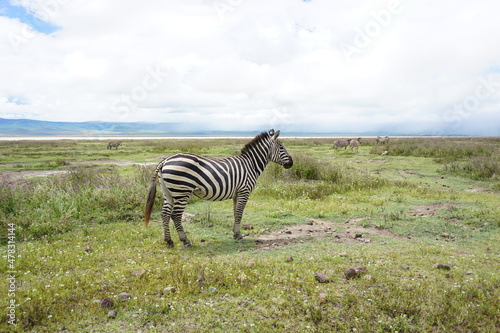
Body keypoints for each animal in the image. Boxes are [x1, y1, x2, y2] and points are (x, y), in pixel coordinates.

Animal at [144, 129, 292, 246]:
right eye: (282, 148)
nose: (291, 163)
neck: (251, 164)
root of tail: (165, 160)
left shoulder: (237, 192)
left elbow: (235, 213)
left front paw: (235, 234)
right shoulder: (244, 191)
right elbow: (240, 213)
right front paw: (239, 236)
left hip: (168, 192)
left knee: (164, 214)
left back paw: (169, 241)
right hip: (182, 191)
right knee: (175, 215)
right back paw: (185, 240)